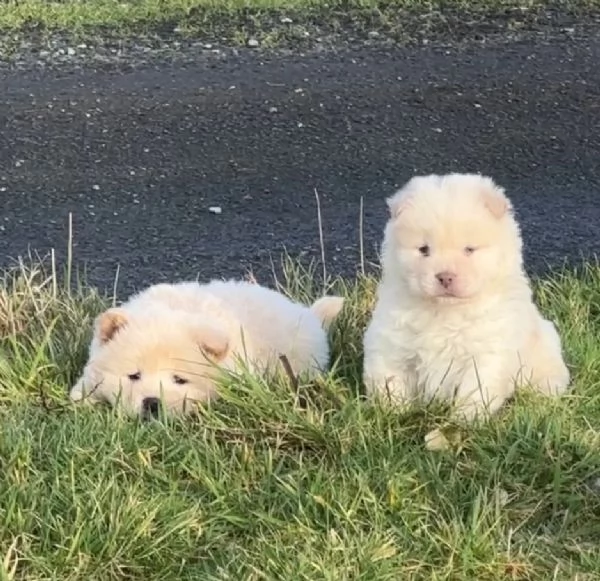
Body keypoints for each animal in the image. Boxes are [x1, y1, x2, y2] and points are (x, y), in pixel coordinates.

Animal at [360, 172, 572, 422]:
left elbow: (475, 392)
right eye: (424, 249)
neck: (445, 312)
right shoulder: (390, 343)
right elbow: (390, 382)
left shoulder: (486, 354)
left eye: (469, 249)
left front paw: (464, 421)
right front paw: (393, 415)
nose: (445, 277)